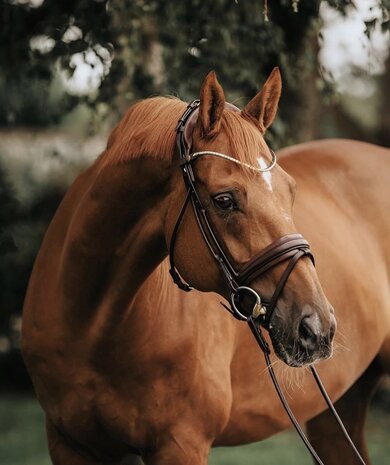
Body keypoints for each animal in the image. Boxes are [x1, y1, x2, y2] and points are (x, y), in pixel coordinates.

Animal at [22, 70, 390, 464]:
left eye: (290, 191)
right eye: (224, 200)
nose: (317, 327)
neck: (91, 325)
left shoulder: (181, 444)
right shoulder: (69, 443)